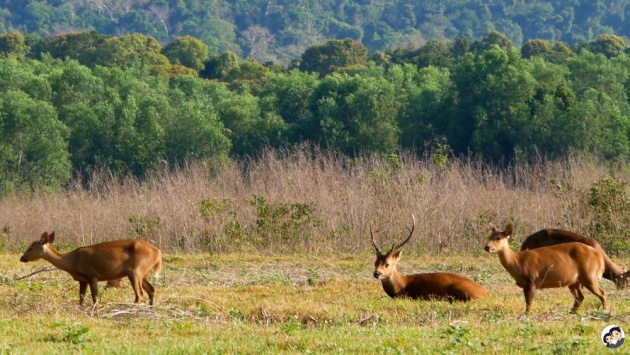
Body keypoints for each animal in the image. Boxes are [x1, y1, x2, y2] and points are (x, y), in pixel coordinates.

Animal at [20, 231, 163, 306]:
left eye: (30, 248)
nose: (22, 258)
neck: (72, 262)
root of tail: (157, 252)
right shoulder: (82, 279)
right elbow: (81, 298)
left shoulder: (92, 275)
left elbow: (95, 297)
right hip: (143, 272)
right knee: (151, 289)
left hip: (135, 270)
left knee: (139, 293)